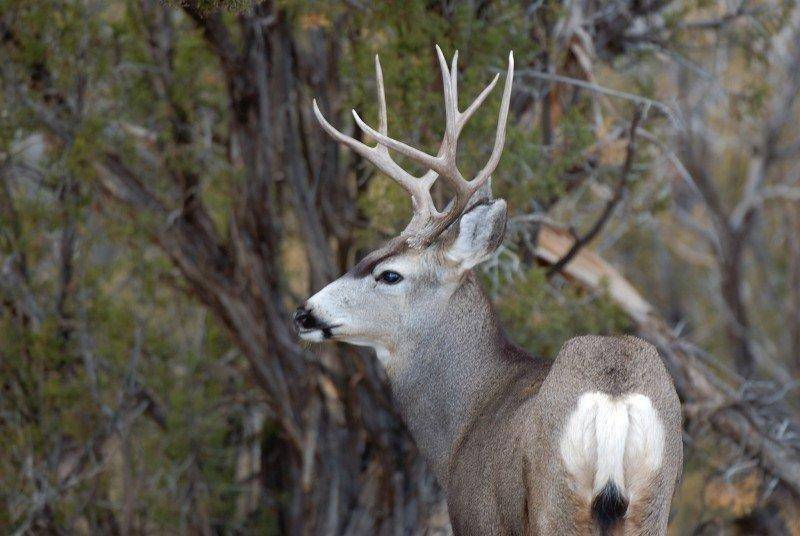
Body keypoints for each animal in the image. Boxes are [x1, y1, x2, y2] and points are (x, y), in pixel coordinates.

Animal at [294, 47, 680, 536]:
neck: (464, 422)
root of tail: (613, 400)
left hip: (555, 507)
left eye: (389, 275)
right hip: (653, 505)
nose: (304, 313)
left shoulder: (475, 514)